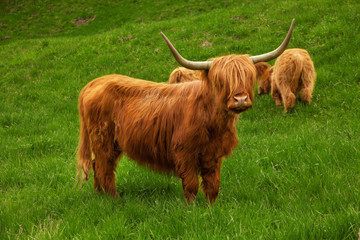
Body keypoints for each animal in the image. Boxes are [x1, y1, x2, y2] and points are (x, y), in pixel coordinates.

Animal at [77, 20, 294, 202]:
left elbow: (213, 184)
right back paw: (115, 199)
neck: (214, 122)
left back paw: (100, 195)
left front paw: (211, 207)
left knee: (98, 165)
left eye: (248, 76)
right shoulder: (184, 152)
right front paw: (191, 208)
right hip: (103, 140)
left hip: (112, 143)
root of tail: (93, 83)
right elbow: (190, 185)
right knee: (104, 168)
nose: (240, 99)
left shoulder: (214, 154)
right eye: (220, 80)